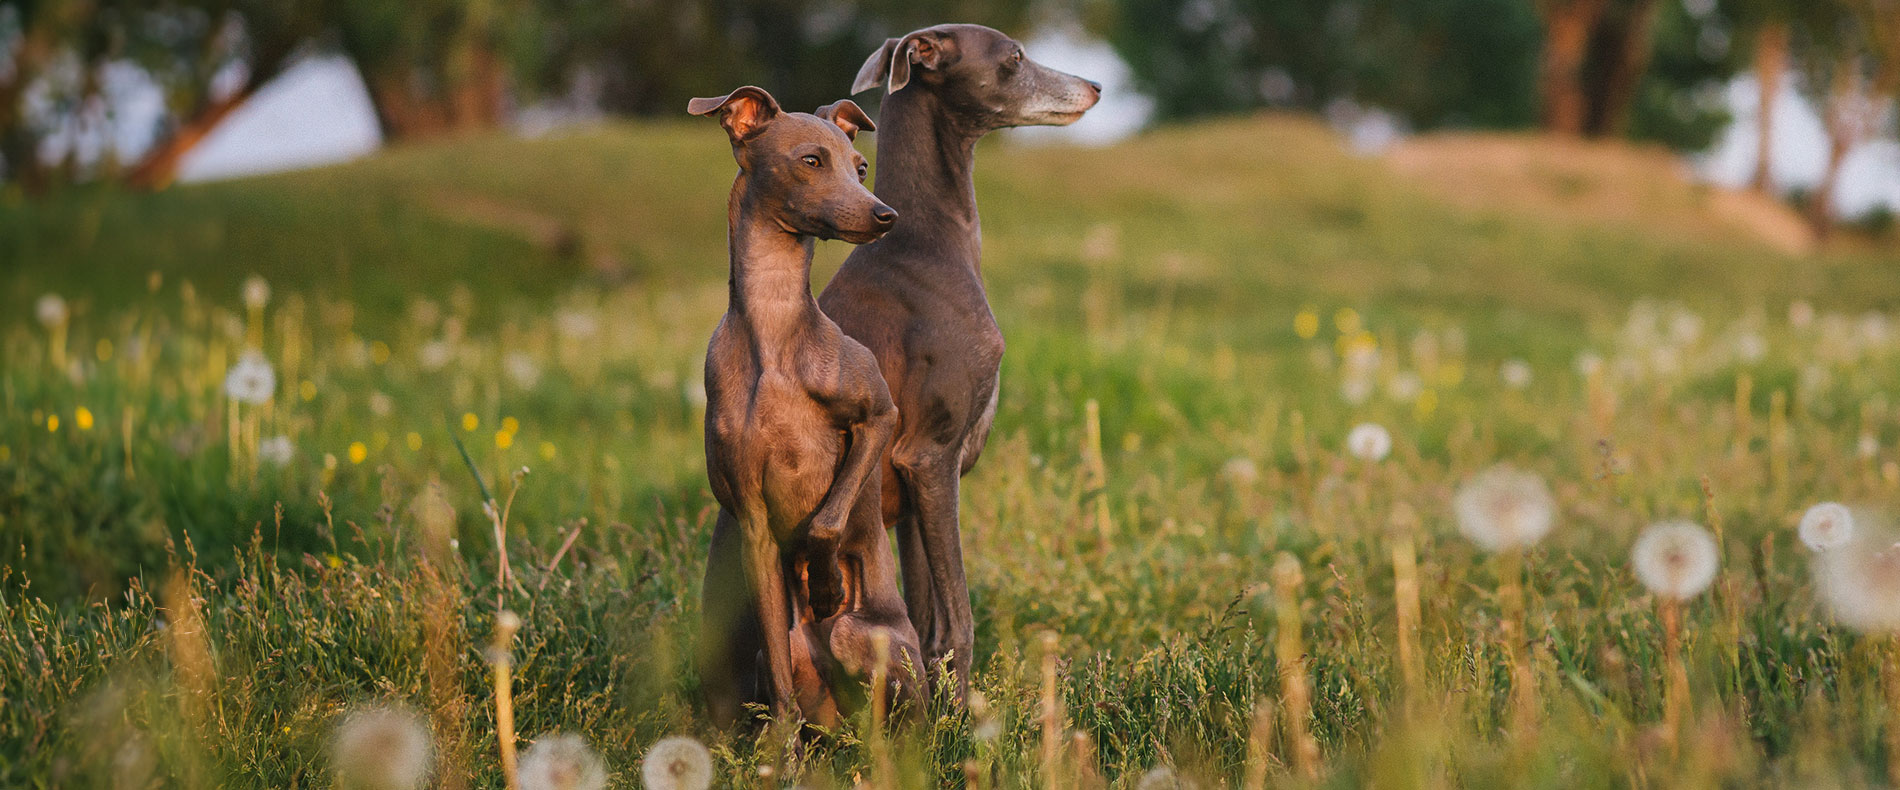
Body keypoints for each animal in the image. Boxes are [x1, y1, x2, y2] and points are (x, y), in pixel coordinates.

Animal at [691, 86, 927, 729]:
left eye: (862, 167)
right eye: (811, 161)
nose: (885, 215)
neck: (774, 333)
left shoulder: (879, 415)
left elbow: (827, 517)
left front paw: (823, 581)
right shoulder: (755, 529)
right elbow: (777, 678)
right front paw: (781, 751)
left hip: (865, 641)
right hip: (783, 658)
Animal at [820, 23, 1109, 698]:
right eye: (1015, 58)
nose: (1095, 85)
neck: (926, 243)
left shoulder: (911, 486)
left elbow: (928, 625)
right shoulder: (931, 457)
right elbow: (957, 624)